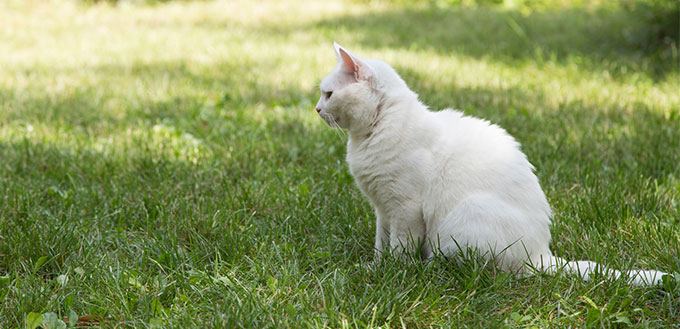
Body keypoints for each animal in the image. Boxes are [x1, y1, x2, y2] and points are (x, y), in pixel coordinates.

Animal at [316, 43, 668, 284]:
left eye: (328, 94)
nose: (317, 110)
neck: (369, 135)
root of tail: (542, 254)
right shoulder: (382, 209)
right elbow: (381, 243)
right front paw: (376, 268)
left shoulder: (405, 208)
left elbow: (400, 247)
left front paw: (394, 273)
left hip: (459, 223)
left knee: (492, 270)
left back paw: (430, 269)